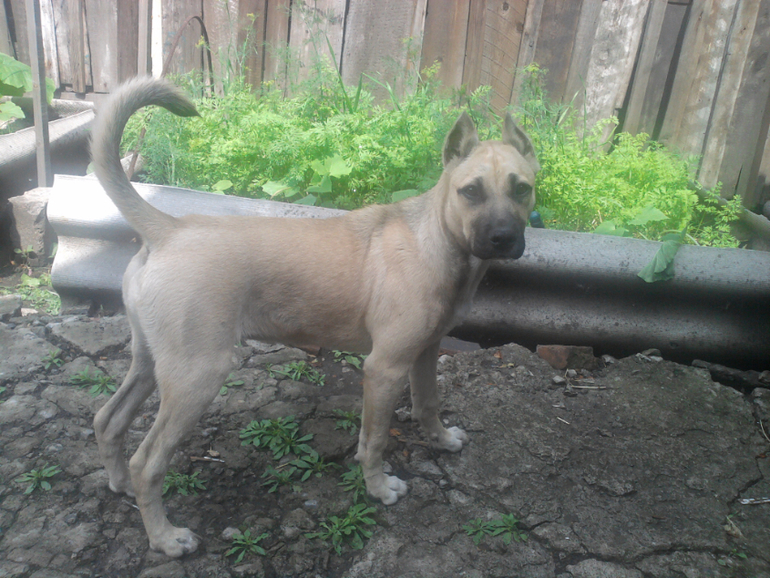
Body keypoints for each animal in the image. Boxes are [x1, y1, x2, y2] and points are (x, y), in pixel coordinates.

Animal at [90, 77, 539, 557]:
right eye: (470, 192)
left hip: (152, 361)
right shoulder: (384, 368)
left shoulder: (425, 352)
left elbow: (427, 404)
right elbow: (374, 440)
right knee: (148, 462)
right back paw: (164, 537)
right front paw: (379, 489)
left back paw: (119, 485)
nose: (503, 238)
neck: (436, 237)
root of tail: (169, 229)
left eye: (522, 189)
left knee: (107, 421)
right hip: (198, 373)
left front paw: (441, 440)